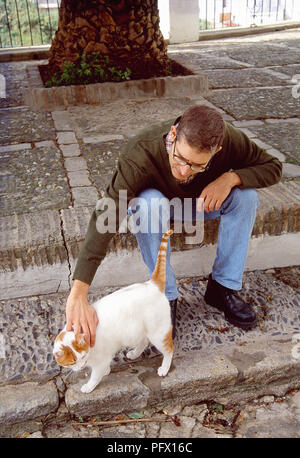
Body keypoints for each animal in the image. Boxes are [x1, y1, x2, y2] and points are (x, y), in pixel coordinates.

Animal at [52, 229, 172, 394]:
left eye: (82, 358)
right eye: (72, 362)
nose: (82, 366)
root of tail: (152, 284)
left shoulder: (100, 361)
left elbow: (96, 375)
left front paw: (89, 386)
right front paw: (106, 371)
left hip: (158, 333)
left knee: (169, 349)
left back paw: (164, 368)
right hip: (140, 330)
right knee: (144, 340)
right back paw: (134, 353)